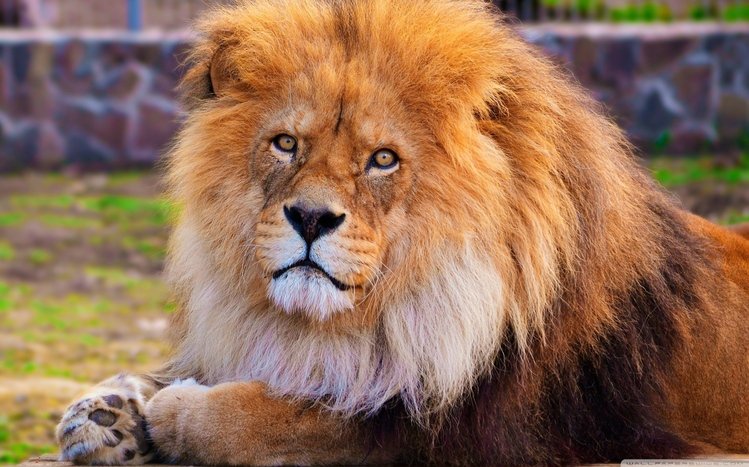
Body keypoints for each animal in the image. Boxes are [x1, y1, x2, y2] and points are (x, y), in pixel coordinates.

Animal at [55, 0, 749, 465]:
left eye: (382, 159)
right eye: (286, 144)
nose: (311, 218)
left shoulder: (459, 432)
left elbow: (282, 418)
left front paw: (174, 411)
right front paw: (104, 414)